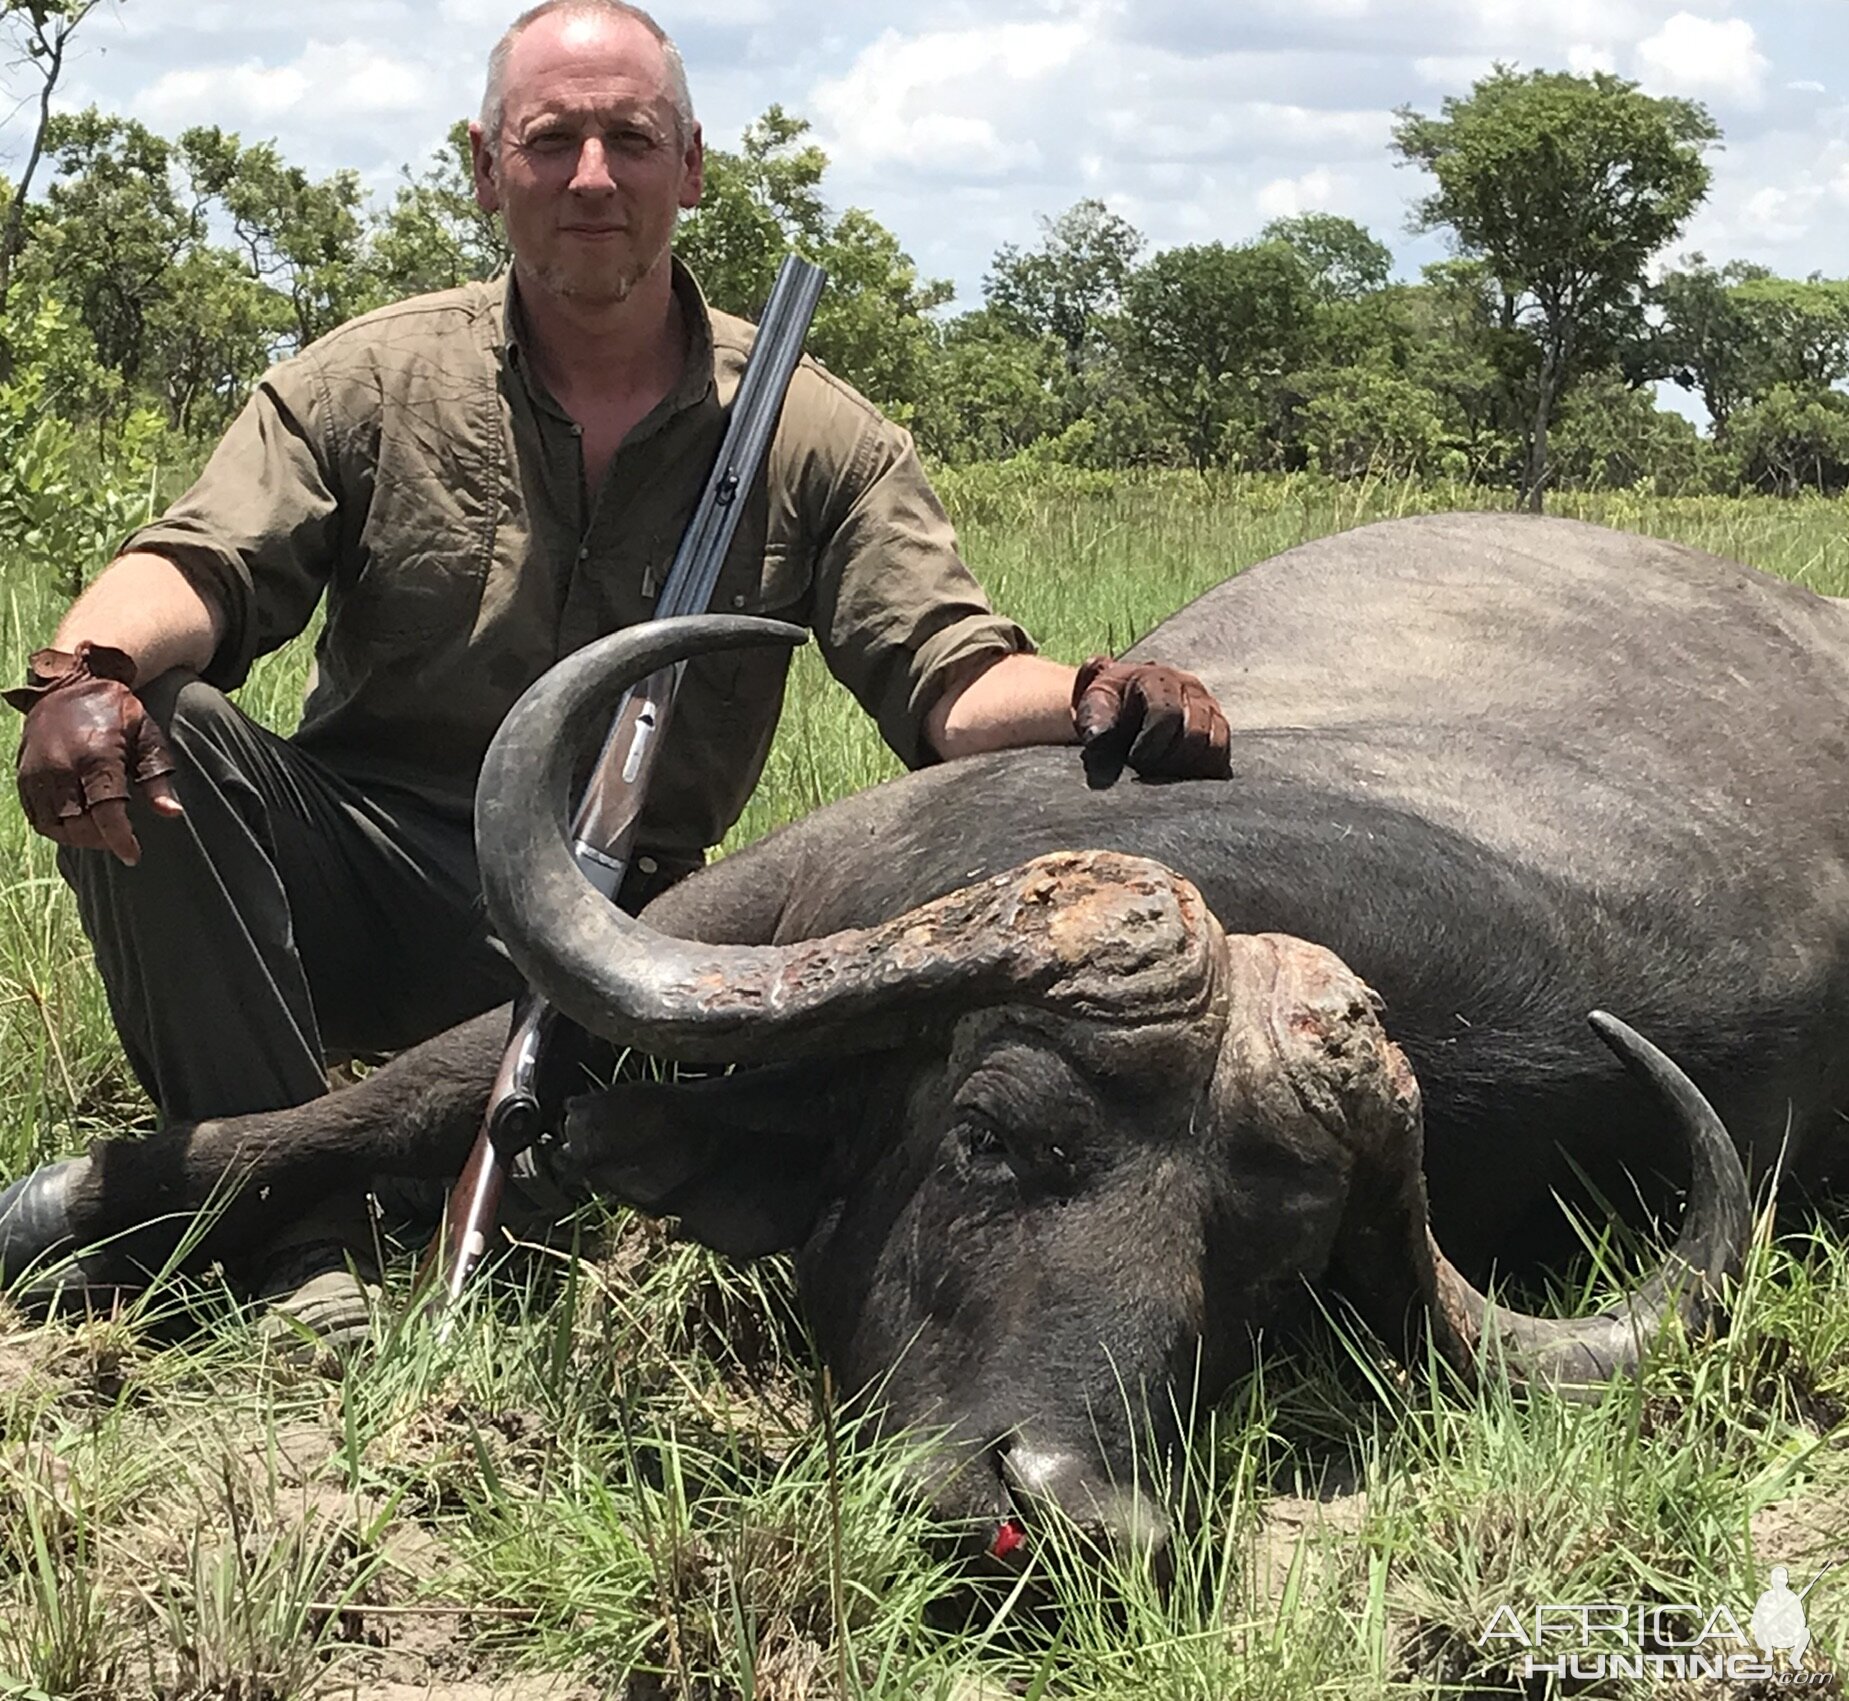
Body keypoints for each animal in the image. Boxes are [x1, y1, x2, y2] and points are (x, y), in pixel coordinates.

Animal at [3, 506, 1834, 1553]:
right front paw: (62, 1208)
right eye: (991, 1136)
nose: (1065, 1514)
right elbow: (370, 1107)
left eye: (1270, 1269)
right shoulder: (739, 911)